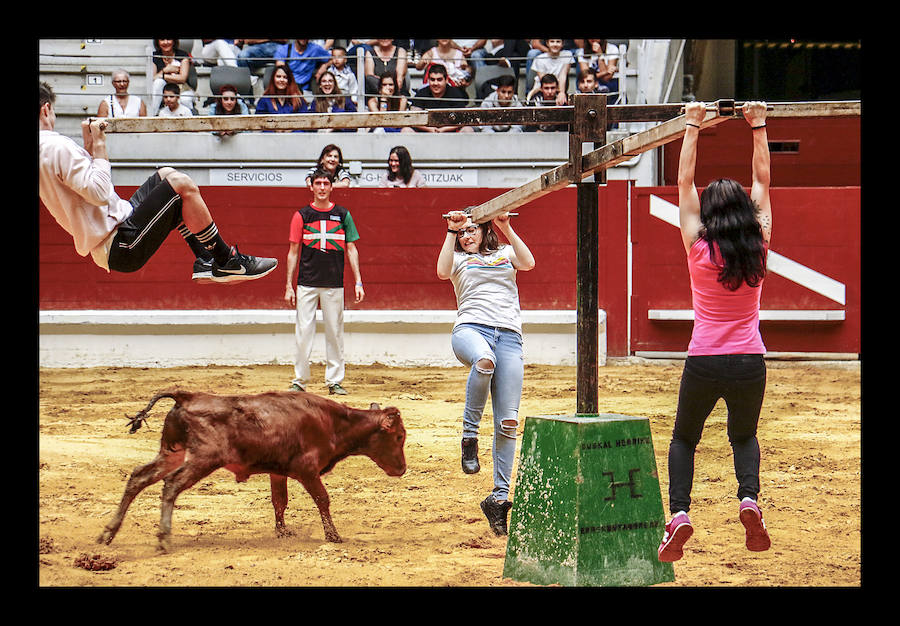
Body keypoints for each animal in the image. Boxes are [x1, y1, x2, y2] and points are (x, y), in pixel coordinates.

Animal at [96, 386, 406, 552]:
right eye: (399, 437)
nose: (402, 469)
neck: (333, 422)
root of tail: (187, 396)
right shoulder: (307, 470)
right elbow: (322, 499)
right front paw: (333, 536)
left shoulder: (278, 471)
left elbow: (280, 501)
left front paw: (282, 532)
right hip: (203, 459)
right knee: (171, 484)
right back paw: (163, 539)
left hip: (171, 452)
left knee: (138, 477)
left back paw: (107, 534)